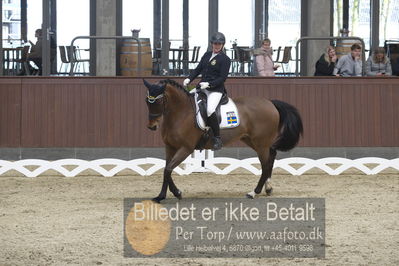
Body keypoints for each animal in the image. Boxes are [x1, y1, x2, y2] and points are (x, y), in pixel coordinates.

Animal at [144, 78, 304, 203]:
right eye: (147, 101)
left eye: (158, 101)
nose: (152, 127)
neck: (180, 113)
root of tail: (270, 102)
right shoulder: (170, 147)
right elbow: (166, 169)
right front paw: (161, 196)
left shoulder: (185, 148)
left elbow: (168, 169)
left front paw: (176, 193)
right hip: (253, 141)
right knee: (271, 156)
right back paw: (268, 188)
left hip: (260, 142)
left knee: (265, 165)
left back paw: (254, 192)